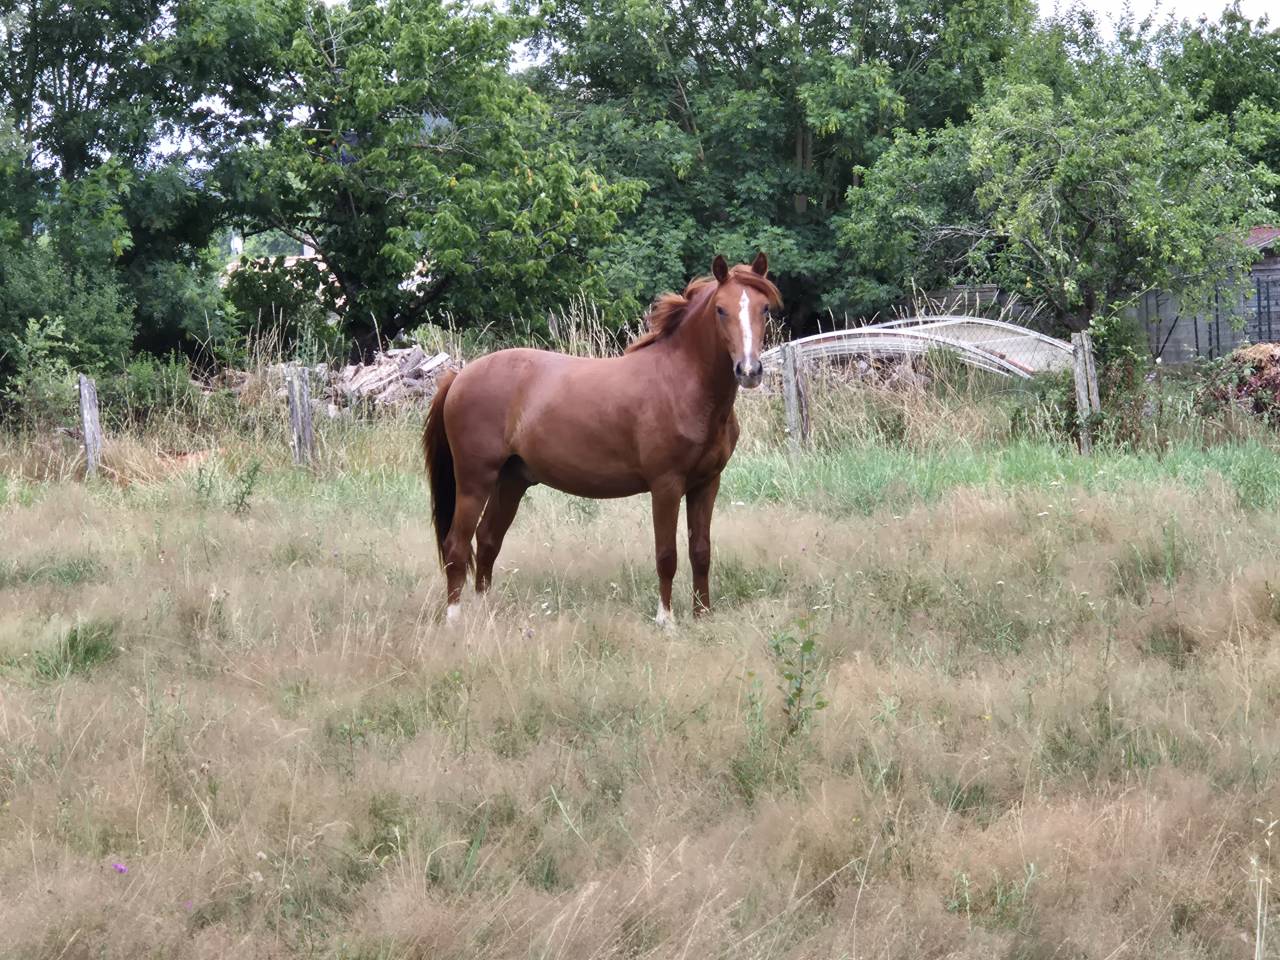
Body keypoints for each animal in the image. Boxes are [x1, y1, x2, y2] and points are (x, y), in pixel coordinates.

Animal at [422, 253, 782, 625]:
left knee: (488, 540)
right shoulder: (666, 485)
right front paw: (665, 620)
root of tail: (459, 376)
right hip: (474, 481)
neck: (681, 384)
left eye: (765, 309)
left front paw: (702, 616)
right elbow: (667, 555)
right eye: (721, 310)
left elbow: (701, 551)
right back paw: (455, 620)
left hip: (511, 480)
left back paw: (486, 613)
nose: (749, 371)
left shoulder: (706, 483)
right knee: (457, 546)